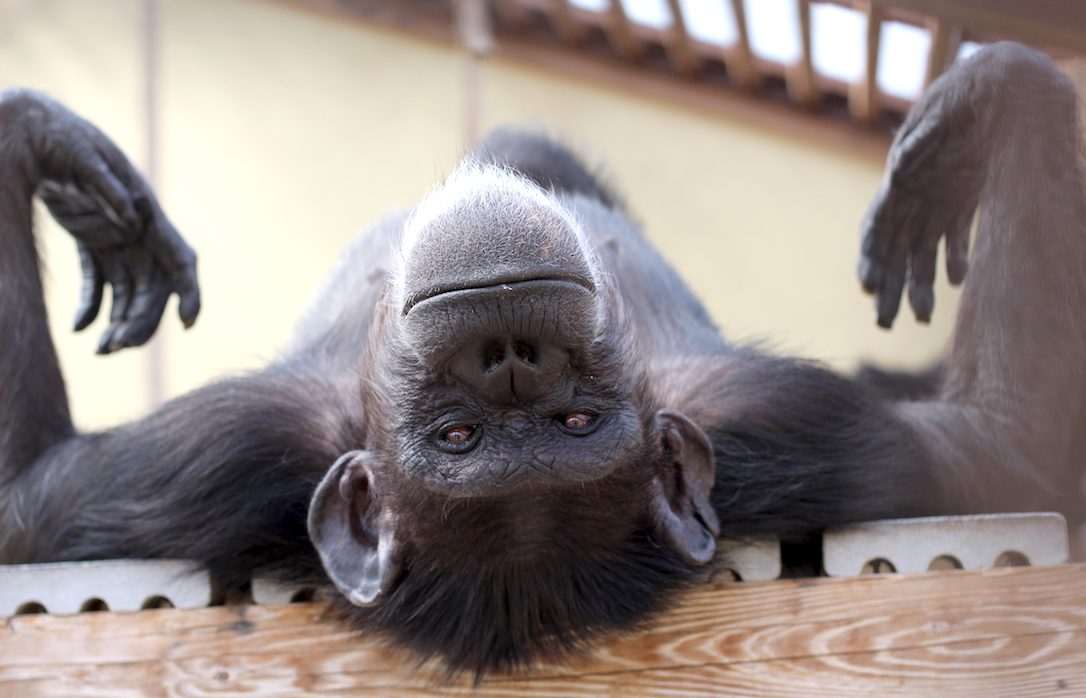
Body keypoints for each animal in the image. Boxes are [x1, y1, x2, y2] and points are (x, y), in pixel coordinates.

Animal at [0, 43, 1083, 678]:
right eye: (458, 435)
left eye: (573, 421)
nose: (508, 353)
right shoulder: (220, 462)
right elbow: (25, 497)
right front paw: (46, 143)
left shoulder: (789, 426)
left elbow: (1003, 449)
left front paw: (986, 99)